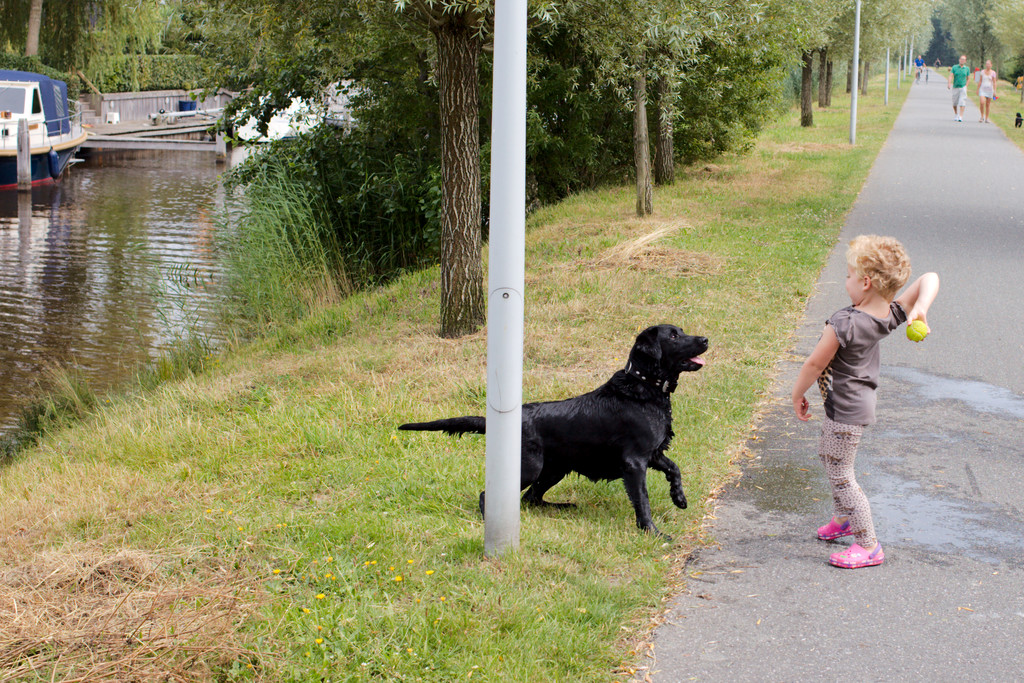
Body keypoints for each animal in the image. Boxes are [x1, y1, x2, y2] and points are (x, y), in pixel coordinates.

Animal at [395, 325, 708, 540]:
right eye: (673, 337)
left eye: (682, 331)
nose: (705, 339)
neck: (645, 388)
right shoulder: (635, 462)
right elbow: (642, 500)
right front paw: (652, 532)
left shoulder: (654, 453)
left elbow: (675, 469)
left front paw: (679, 498)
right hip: (530, 468)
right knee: (492, 494)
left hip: (554, 469)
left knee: (531, 499)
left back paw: (563, 506)